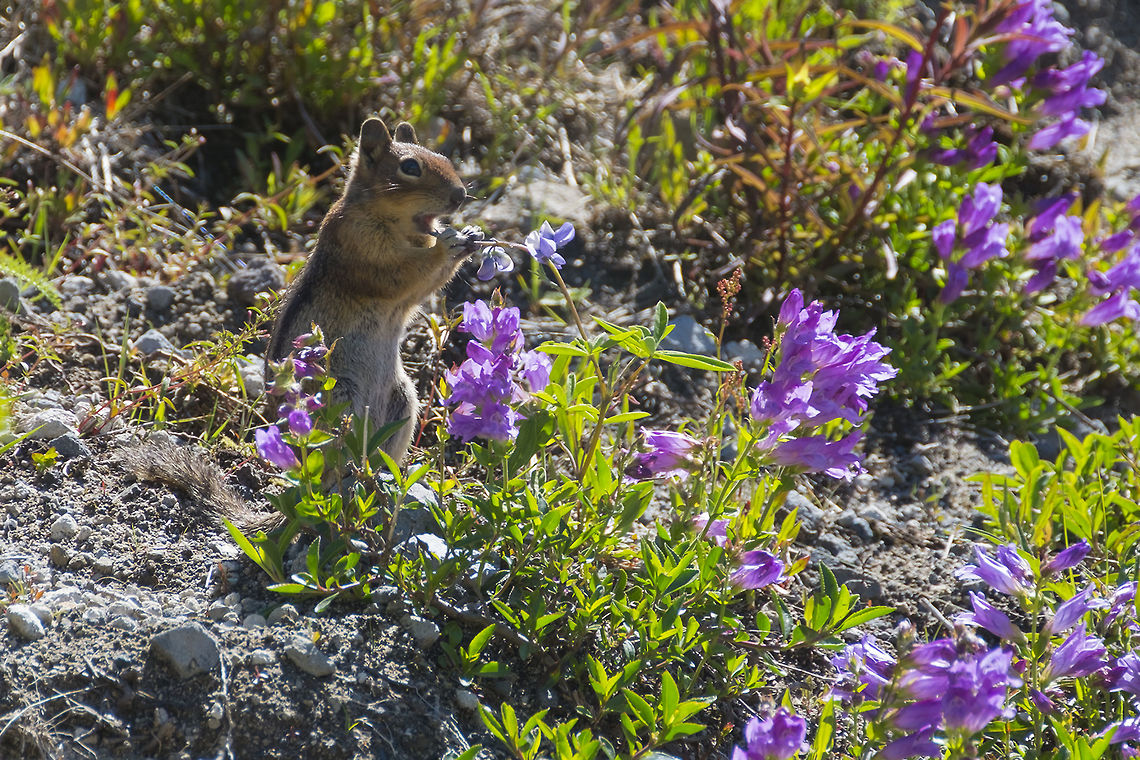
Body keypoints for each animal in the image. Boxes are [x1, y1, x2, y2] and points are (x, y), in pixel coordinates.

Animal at [121, 117, 481, 529]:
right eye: (410, 167)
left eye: (445, 158)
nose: (460, 196)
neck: (391, 221)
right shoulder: (362, 250)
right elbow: (407, 273)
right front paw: (449, 244)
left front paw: (470, 235)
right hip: (340, 400)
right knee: (334, 466)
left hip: (402, 401)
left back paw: (382, 480)